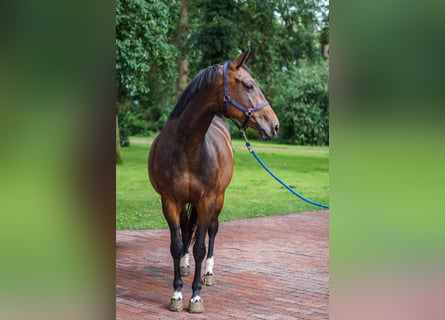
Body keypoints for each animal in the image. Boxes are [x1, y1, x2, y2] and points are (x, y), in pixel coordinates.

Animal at [148, 51, 278, 314]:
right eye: (248, 85)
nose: (274, 125)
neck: (187, 147)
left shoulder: (207, 201)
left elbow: (200, 247)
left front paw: (196, 297)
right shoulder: (169, 202)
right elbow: (176, 244)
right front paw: (177, 293)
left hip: (218, 199)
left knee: (212, 230)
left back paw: (208, 272)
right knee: (187, 229)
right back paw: (185, 266)